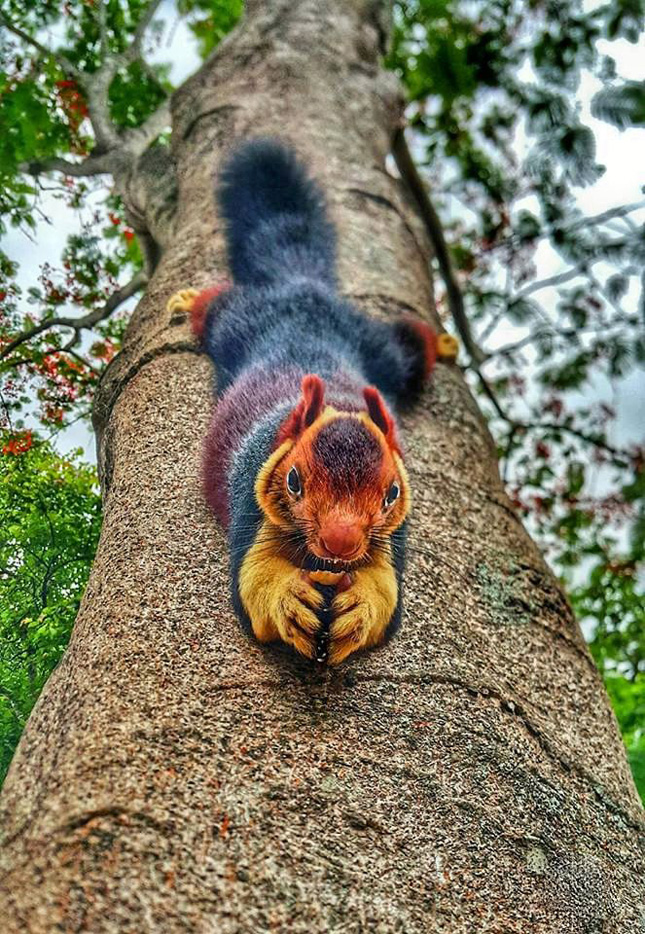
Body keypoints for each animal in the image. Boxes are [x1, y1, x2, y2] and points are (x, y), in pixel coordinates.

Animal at [169, 141, 446, 664]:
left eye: (392, 493)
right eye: (293, 480)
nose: (341, 542)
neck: (340, 404)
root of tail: (304, 289)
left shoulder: (395, 534)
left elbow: (386, 586)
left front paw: (361, 607)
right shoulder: (250, 496)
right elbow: (253, 577)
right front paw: (288, 600)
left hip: (379, 348)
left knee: (407, 346)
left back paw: (442, 342)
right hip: (241, 321)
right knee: (219, 306)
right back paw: (192, 299)